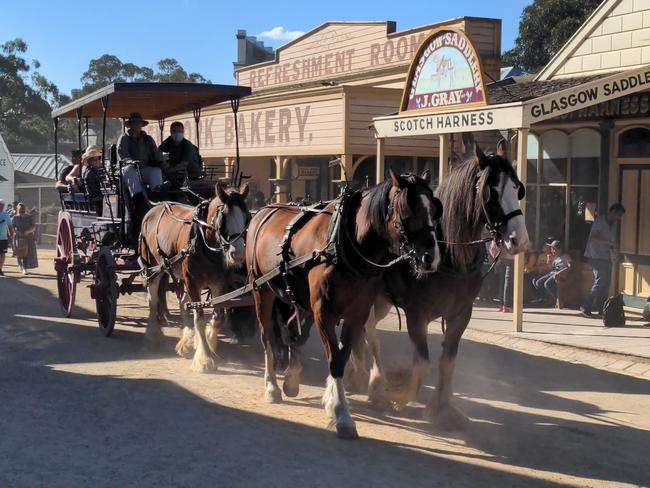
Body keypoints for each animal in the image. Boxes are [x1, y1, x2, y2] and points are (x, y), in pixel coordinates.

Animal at [139, 185, 248, 372]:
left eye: (246, 216)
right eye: (224, 217)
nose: (239, 253)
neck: (203, 241)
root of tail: (155, 206)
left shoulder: (218, 283)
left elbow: (217, 318)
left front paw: (208, 346)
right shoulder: (192, 281)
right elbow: (200, 319)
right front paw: (204, 358)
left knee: (183, 302)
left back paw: (187, 342)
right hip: (153, 266)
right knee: (153, 300)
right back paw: (154, 336)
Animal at [247, 169, 440, 438]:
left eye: (433, 209)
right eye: (407, 210)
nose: (430, 257)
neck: (346, 245)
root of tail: (262, 212)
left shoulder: (357, 313)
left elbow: (343, 353)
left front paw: (334, 401)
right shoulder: (323, 312)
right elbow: (334, 359)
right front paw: (340, 412)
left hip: (299, 301)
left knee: (293, 331)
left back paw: (292, 378)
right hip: (261, 291)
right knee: (267, 336)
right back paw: (272, 386)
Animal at [350, 137, 528, 428]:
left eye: (517, 188)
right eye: (491, 192)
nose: (519, 240)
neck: (448, 253)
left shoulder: (461, 313)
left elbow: (447, 362)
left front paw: (442, 408)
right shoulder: (416, 313)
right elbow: (423, 363)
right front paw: (399, 394)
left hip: (381, 302)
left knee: (364, 332)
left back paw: (360, 375)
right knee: (369, 333)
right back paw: (374, 384)